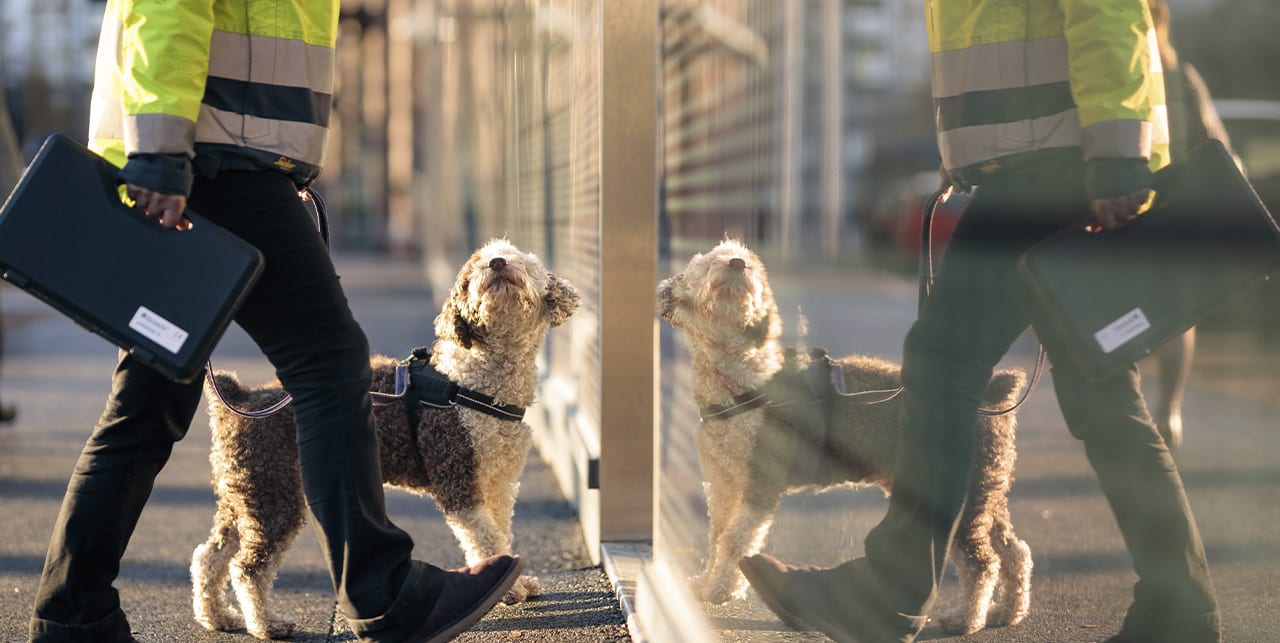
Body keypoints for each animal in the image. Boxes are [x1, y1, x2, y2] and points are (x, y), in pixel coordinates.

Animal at [189, 236, 581, 637]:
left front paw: (518, 579)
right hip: (273, 493)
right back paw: (266, 624)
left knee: (210, 554)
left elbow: (500, 532)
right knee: (248, 567)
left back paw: (217, 617)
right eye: (472, 270)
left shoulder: (498, 483)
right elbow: (484, 537)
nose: (497, 263)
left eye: (520, 260)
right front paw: (506, 587)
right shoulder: (459, 479)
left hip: (245, 490)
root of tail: (242, 397)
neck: (477, 381)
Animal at [660, 239, 1029, 632]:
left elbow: (736, 539)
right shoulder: (723, 482)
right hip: (985, 489)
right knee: (1014, 549)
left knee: (982, 562)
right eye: (705, 264)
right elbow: (718, 535)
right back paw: (1008, 611)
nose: (736, 263)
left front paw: (721, 590)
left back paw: (966, 618)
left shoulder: (760, 482)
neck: (744, 378)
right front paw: (707, 582)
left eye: (752, 265)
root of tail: (993, 389)